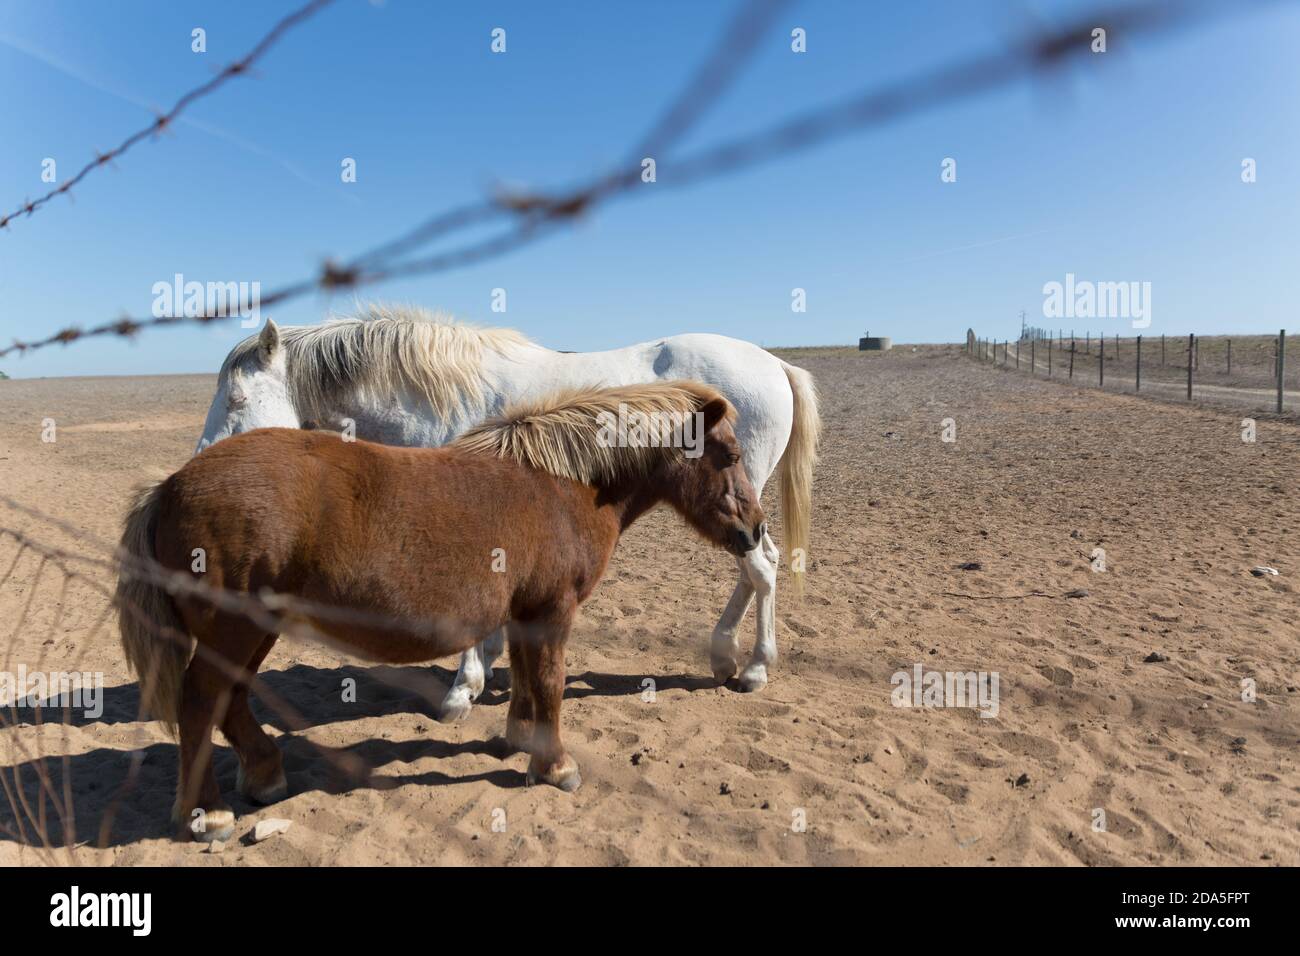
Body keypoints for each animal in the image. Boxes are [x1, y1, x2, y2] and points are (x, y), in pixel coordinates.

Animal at [116, 377, 764, 842]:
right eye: (730, 453)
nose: (755, 530)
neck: (563, 485)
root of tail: (170, 487)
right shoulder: (552, 611)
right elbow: (550, 683)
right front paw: (556, 767)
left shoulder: (526, 612)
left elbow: (525, 680)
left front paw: (520, 742)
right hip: (234, 628)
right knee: (201, 700)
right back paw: (210, 814)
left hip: (257, 628)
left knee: (232, 698)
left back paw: (264, 775)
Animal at [196, 306, 816, 717]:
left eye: (237, 398)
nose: (203, 462)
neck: (433, 395)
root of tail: (773, 364)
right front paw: (483, 671)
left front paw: (462, 687)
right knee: (755, 564)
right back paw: (723, 655)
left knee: (761, 566)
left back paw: (754, 666)